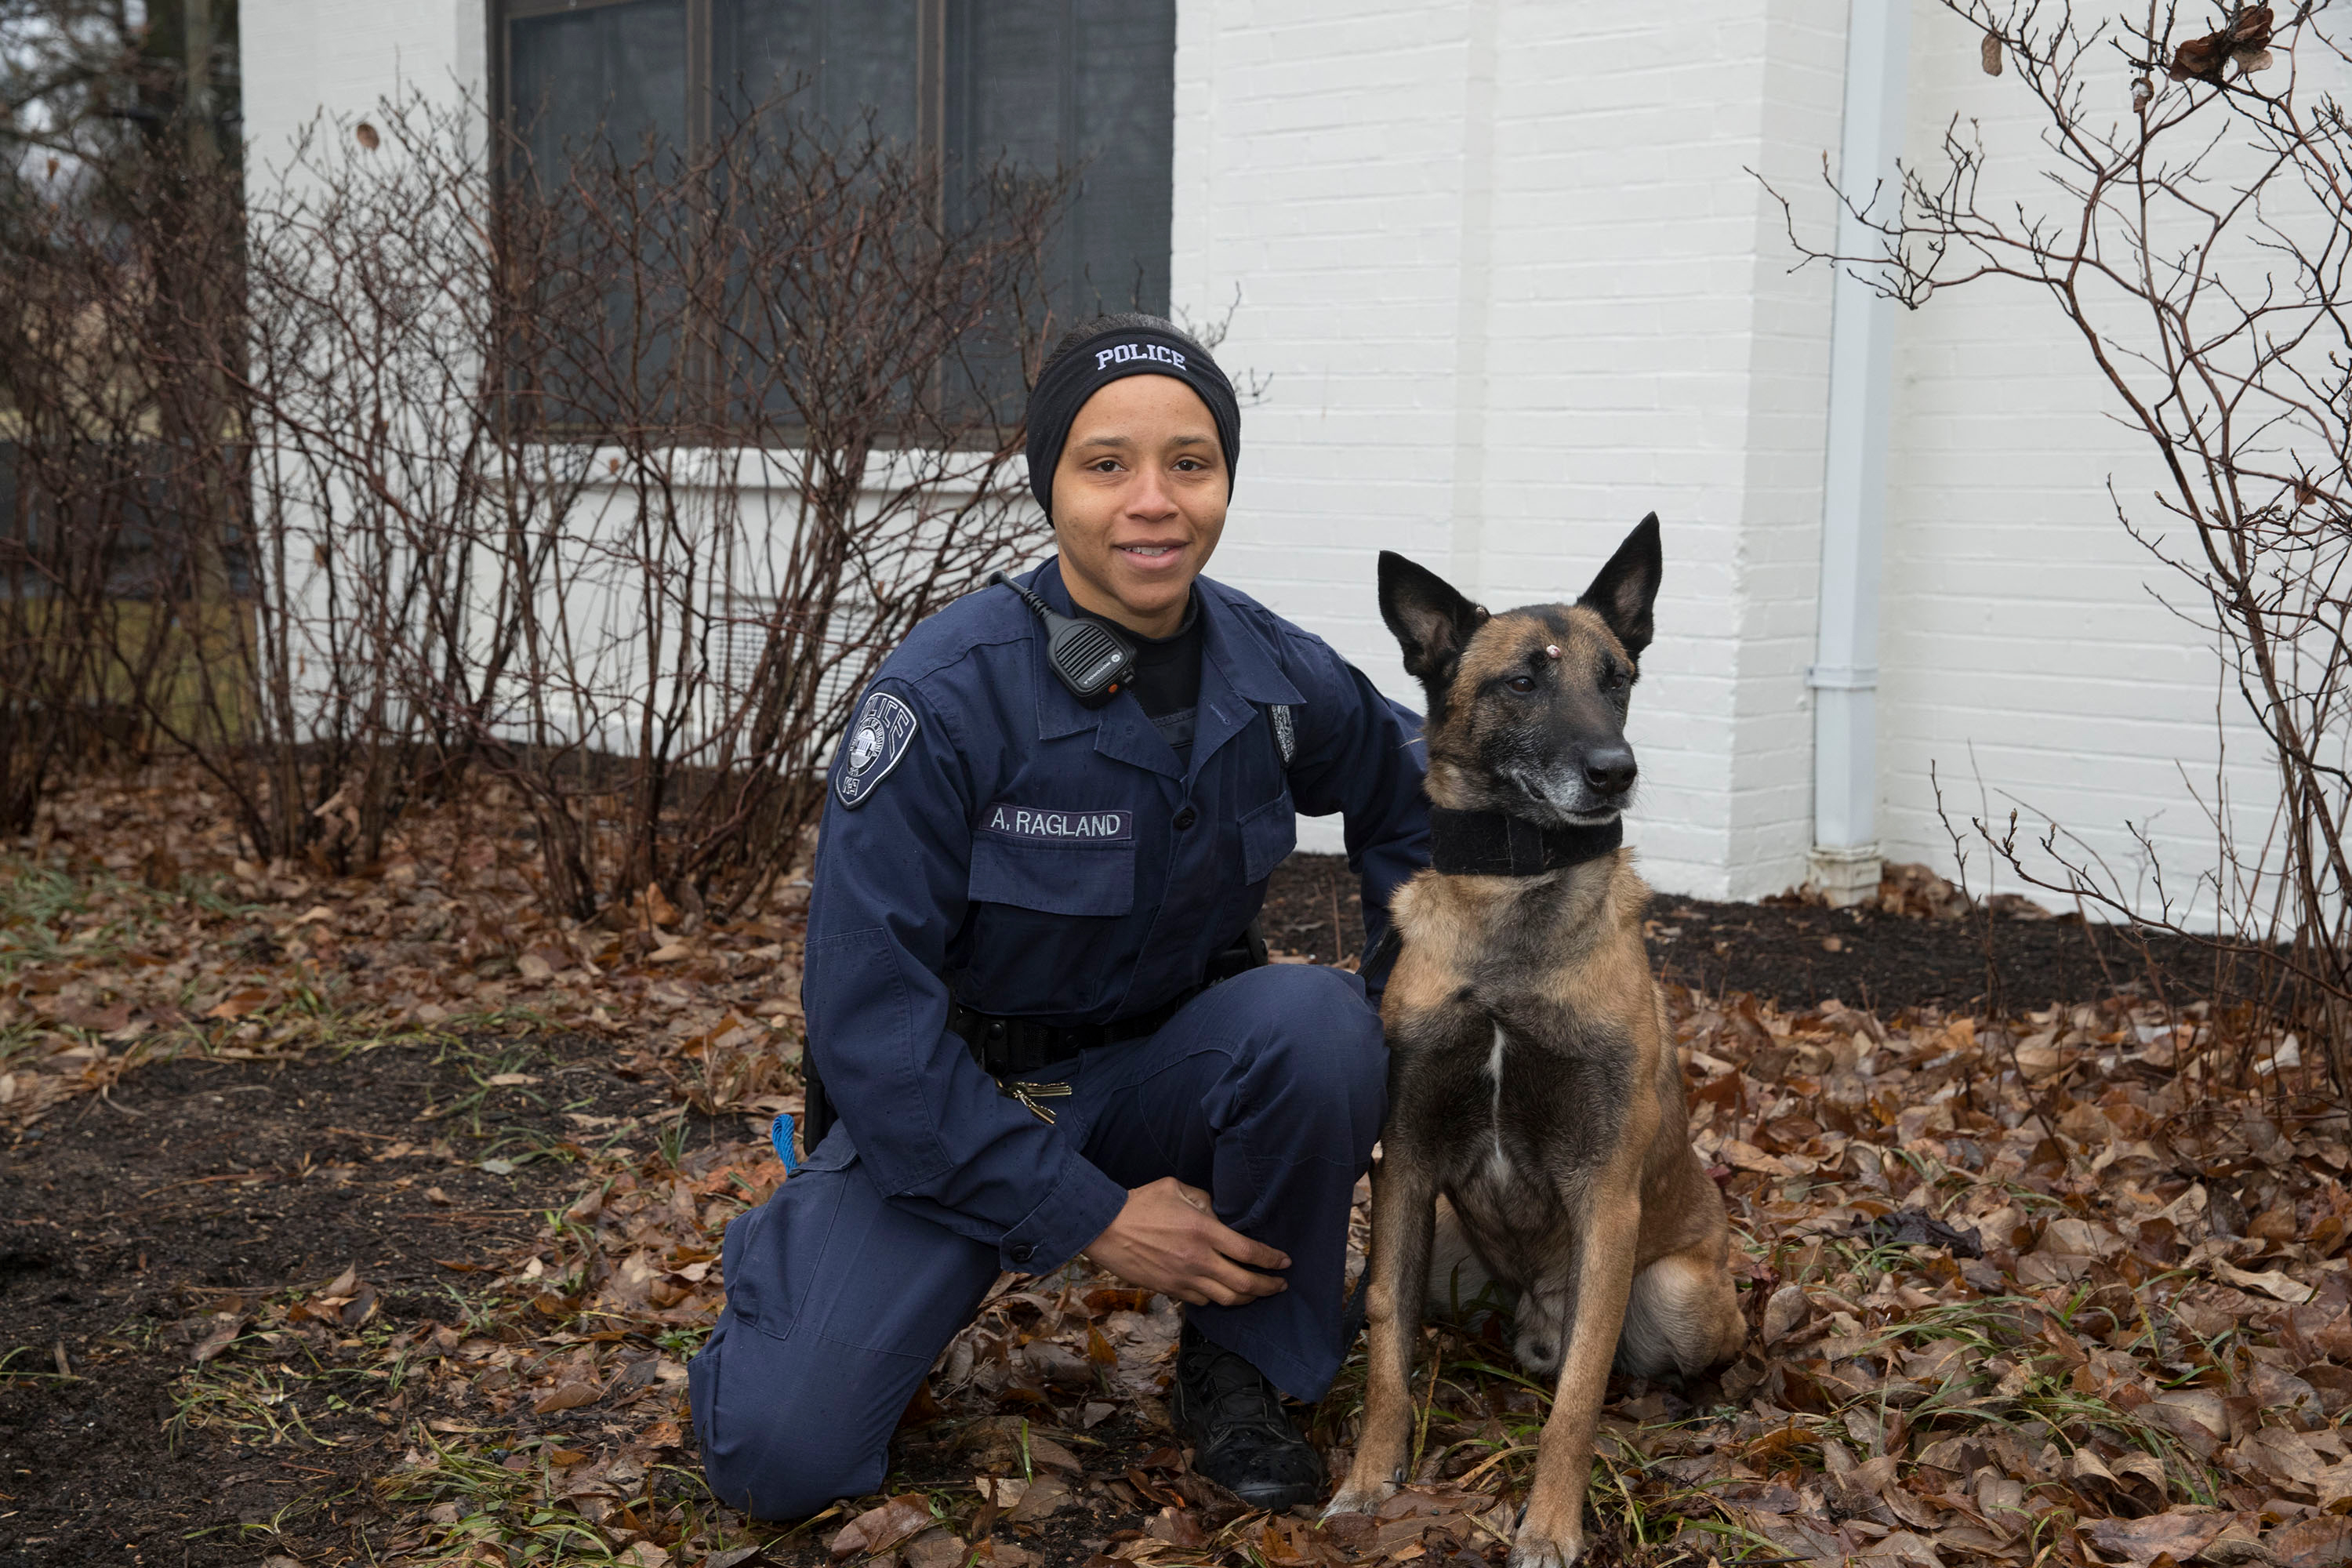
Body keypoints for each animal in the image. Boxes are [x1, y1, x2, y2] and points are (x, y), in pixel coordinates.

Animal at [1327, 514, 1750, 1568]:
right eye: (1522, 680)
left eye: (1618, 678)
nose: (1615, 770)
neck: (1515, 897)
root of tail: (1526, 1313)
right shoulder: (1406, 1168)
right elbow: (1387, 1348)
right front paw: (1369, 1479)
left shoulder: (1606, 1196)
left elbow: (1577, 1398)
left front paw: (1550, 1524)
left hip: (1678, 1289)